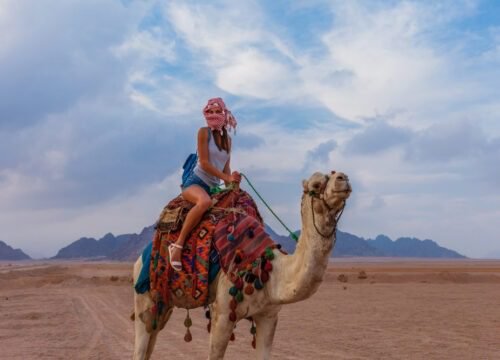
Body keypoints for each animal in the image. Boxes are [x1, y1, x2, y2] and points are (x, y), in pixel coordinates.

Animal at [133, 170, 352, 358]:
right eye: (316, 184)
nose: (344, 178)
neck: (271, 271)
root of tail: (139, 258)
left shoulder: (269, 316)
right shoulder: (221, 314)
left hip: (163, 305)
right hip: (144, 299)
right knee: (141, 345)